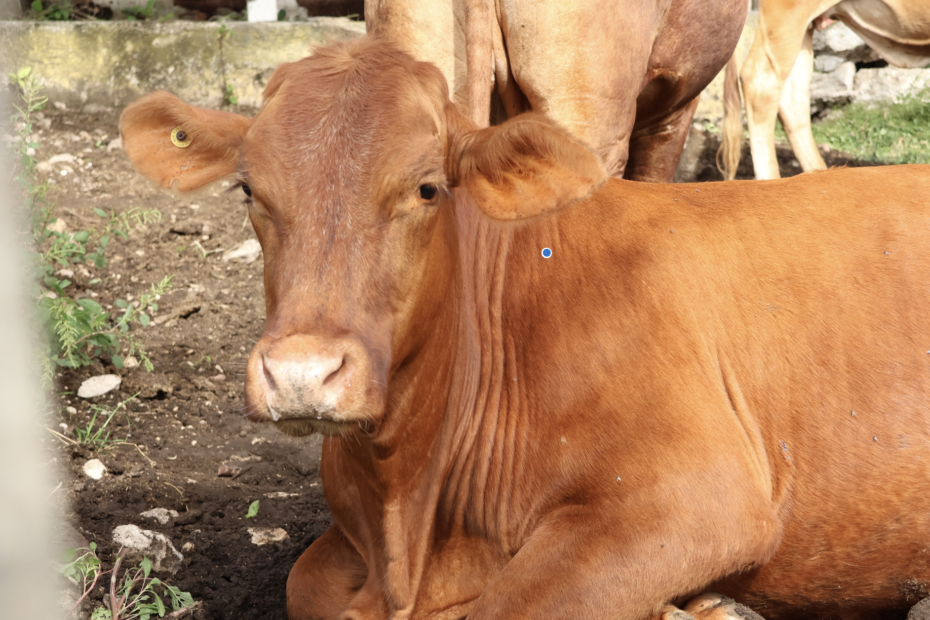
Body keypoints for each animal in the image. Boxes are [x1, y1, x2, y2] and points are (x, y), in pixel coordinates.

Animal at [120, 38, 930, 620]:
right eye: (248, 189)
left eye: (427, 188)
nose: (301, 374)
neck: (409, 521)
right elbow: (305, 585)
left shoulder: (698, 493)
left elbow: (510, 606)